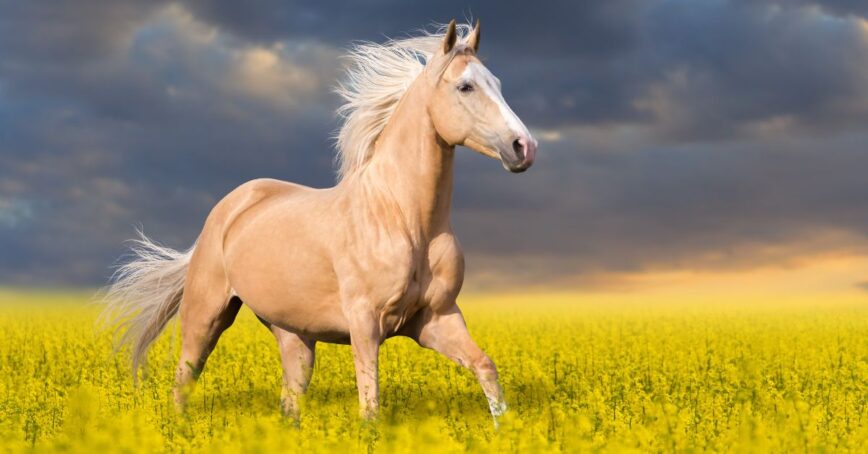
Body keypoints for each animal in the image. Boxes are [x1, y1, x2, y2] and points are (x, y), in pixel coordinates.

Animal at [106, 19, 540, 420]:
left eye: (497, 83)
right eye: (465, 87)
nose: (524, 147)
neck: (405, 220)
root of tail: (228, 210)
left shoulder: (436, 319)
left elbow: (486, 368)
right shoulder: (365, 323)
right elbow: (370, 406)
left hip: (294, 335)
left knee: (289, 400)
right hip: (206, 315)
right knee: (184, 381)